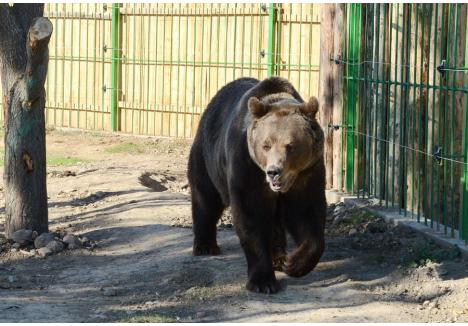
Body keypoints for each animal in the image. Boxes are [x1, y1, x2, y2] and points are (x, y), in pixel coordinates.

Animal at [186, 76, 326, 292]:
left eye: (290, 145)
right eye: (266, 145)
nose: (273, 172)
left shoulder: (308, 172)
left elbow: (307, 213)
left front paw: (293, 263)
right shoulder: (247, 166)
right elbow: (250, 214)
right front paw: (263, 282)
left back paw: (279, 257)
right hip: (207, 157)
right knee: (206, 198)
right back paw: (205, 246)